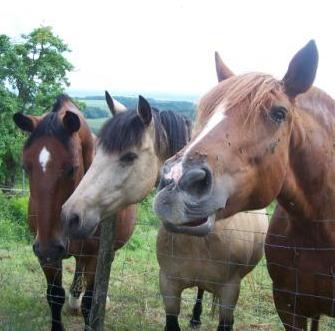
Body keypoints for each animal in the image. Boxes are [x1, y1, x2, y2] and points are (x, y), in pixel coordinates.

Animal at [13, 94, 136, 331]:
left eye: (71, 168)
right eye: (25, 167)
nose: (49, 246)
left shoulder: (94, 255)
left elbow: (90, 303)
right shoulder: (46, 254)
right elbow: (54, 295)